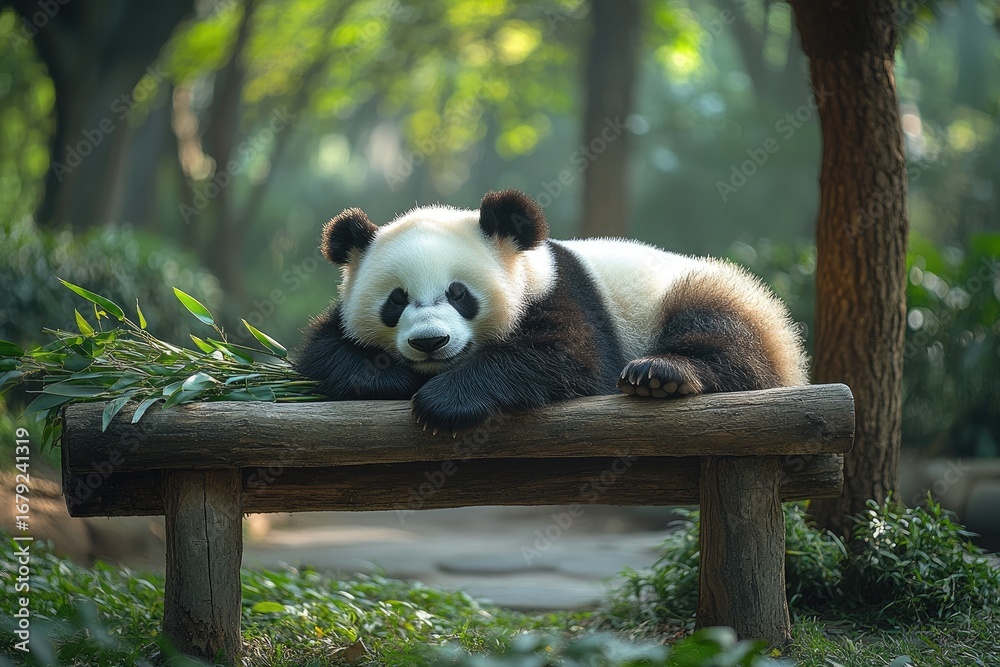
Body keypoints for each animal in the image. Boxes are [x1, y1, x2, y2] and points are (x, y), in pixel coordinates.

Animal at [296, 189, 808, 435]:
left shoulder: (561, 294)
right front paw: (392, 377)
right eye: (396, 300)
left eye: (459, 293)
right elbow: (322, 351)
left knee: (726, 339)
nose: (429, 342)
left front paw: (445, 402)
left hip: (709, 294)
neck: (527, 266)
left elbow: (566, 357)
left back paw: (662, 374)